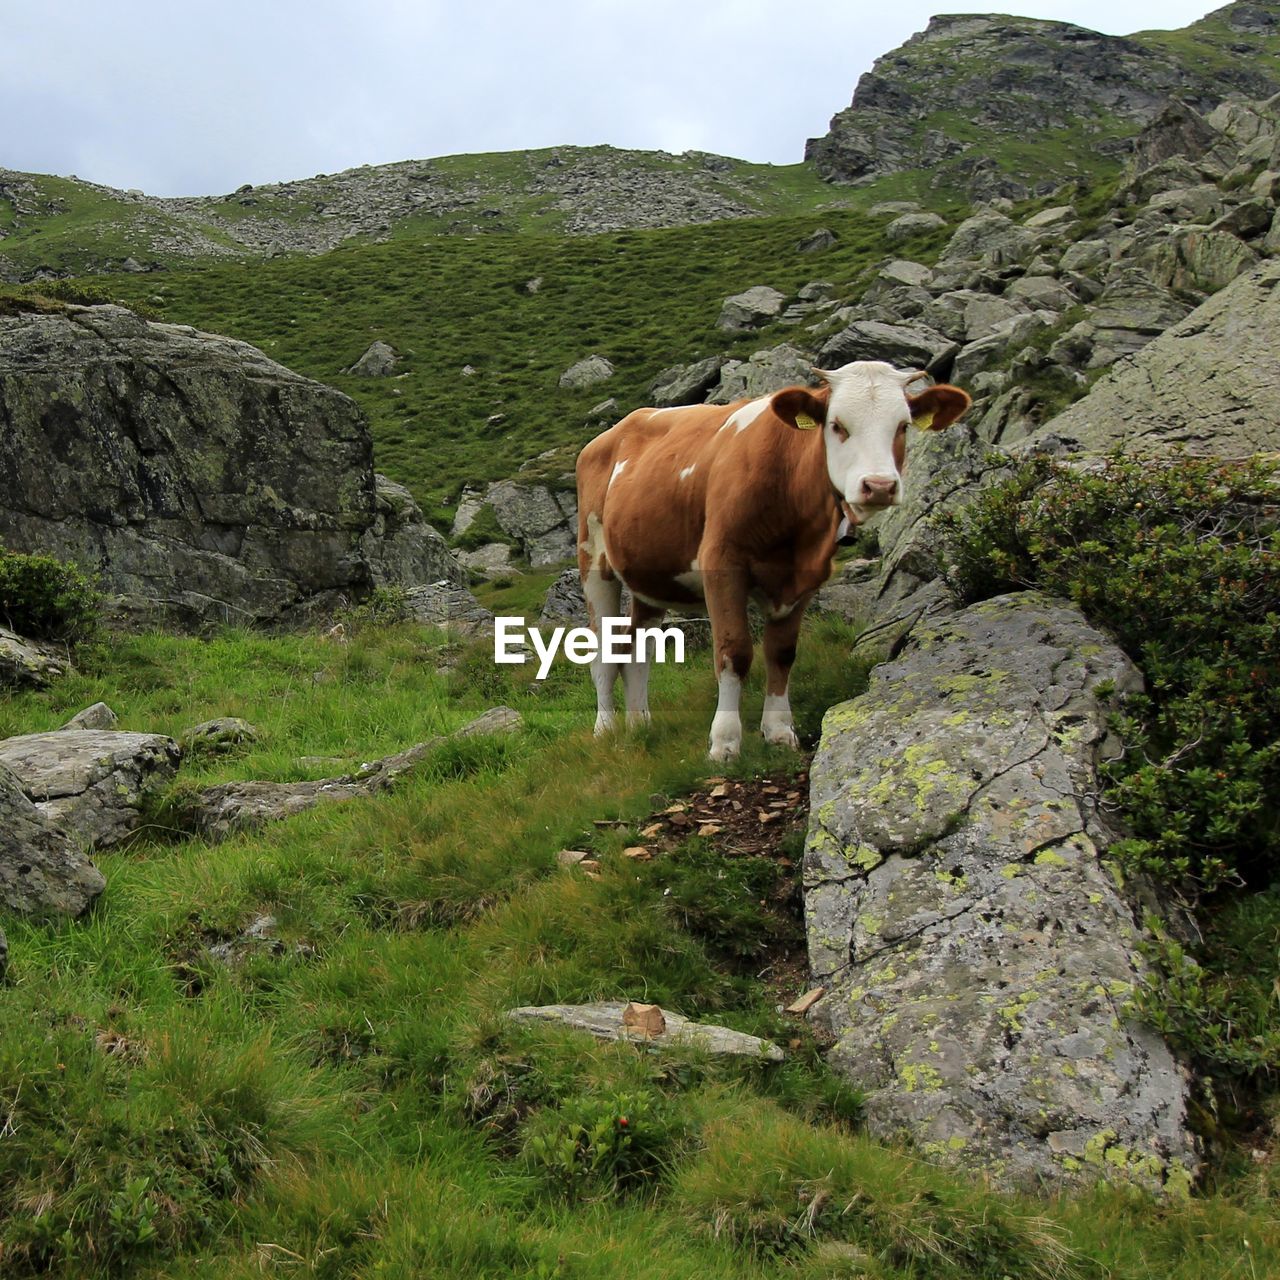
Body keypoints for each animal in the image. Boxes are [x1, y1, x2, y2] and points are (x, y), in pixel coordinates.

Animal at [573, 358, 967, 757]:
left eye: (903, 426)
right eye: (837, 425)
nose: (880, 486)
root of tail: (617, 429)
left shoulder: (805, 576)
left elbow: (782, 653)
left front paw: (778, 731)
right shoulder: (722, 563)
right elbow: (734, 652)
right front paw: (725, 742)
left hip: (650, 573)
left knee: (636, 648)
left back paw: (640, 725)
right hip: (593, 561)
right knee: (604, 653)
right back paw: (605, 729)